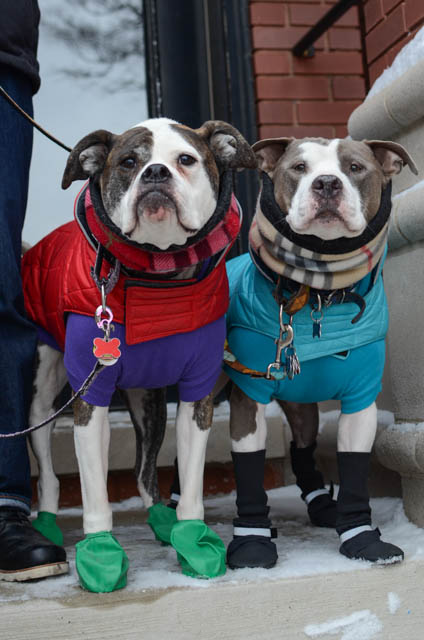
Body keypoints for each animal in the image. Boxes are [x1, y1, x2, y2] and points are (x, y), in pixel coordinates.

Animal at [23, 117, 256, 591]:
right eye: (129, 162)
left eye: (185, 159)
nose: (155, 174)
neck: (158, 278)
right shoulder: (90, 399)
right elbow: (95, 492)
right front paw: (100, 553)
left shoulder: (196, 396)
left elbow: (190, 482)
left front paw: (192, 539)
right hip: (43, 396)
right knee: (50, 471)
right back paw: (48, 525)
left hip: (148, 402)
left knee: (144, 470)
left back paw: (161, 520)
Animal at [219, 136, 417, 570]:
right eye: (299, 168)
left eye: (356, 168)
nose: (327, 183)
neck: (318, 294)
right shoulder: (247, 400)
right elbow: (248, 472)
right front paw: (252, 540)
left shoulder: (361, 400)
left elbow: (354, 470)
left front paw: (362, 538)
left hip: (302, 406)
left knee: (303, 448)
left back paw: (322, 504)